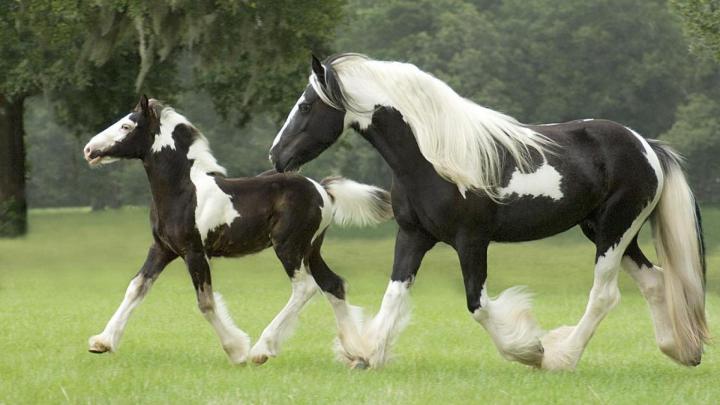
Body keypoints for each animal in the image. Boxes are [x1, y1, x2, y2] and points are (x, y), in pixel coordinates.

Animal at [82, 95, 392, 365]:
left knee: (305, 287)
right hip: (311, 249)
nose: (88, 150)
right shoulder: (162, 249)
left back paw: (262, 350)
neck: (184, 190)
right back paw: (357, 353)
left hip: (289, 247)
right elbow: (136, 287)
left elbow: (205, 302)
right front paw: (102, 342)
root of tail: (322, 189)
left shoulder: (194, 252)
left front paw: (237, 350)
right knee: (333, 284)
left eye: (126, 126)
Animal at [269, 53, 708, 370]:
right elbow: (393, 295)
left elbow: (477, 304)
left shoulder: (471, 241)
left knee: (604, 295)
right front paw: (365, 352)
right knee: (655, 281)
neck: (433, 158)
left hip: (615, 231)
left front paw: (530, 350)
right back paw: (681, 351)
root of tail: (646, 146)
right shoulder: (413, 236)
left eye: (305, 105)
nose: (276, 156)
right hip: (607, 231)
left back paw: (562, 357)